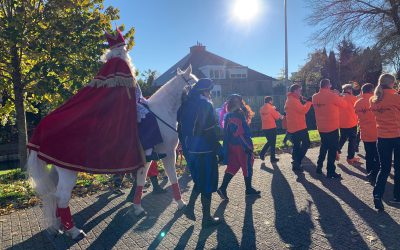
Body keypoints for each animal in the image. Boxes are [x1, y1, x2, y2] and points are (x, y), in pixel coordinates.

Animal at [27, 64, 198, 238]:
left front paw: (137, 207)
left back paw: (60, 224)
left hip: (59, 169)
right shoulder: (169, 153)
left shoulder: (150, 159)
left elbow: (142, 181)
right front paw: (180, 204)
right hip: (68, 172)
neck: (161, 114)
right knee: (62, 197)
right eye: (195, 82)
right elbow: (172, 177)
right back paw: (73, 230)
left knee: (56, 196)